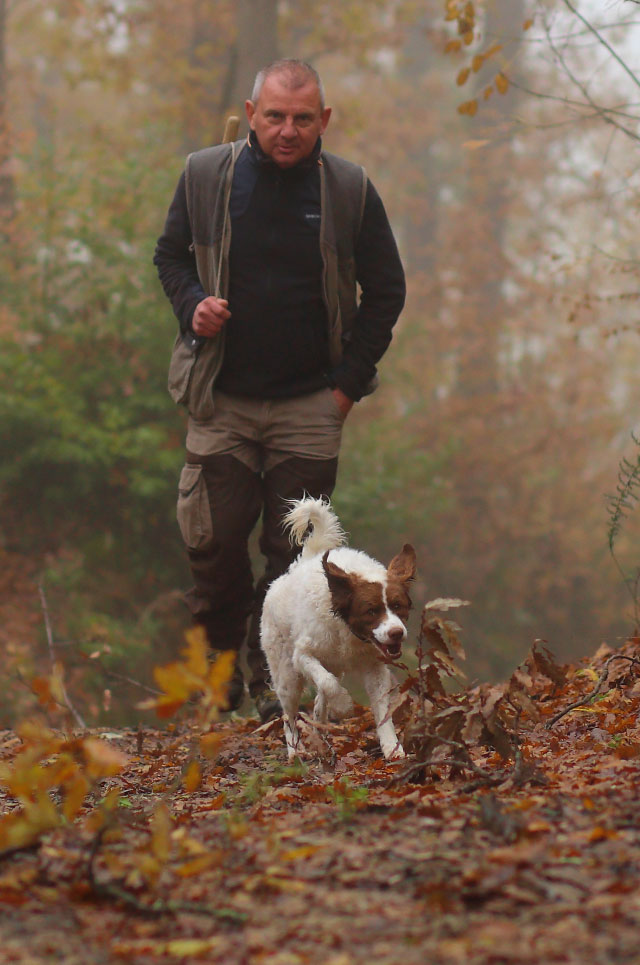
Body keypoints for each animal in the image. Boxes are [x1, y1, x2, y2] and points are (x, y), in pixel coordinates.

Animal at [258, 498, 416, 760]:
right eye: (371, 610)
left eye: (397, 606)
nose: (397, 633)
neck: (349, 632)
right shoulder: (303, 655)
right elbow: (329, 684)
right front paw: (344, 706)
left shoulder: (374, 667)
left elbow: (381, 707)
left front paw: (391, 747)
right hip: (287, 675)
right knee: (289, 715)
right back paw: (295, 750)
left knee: (318, 703)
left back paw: (320, 737)